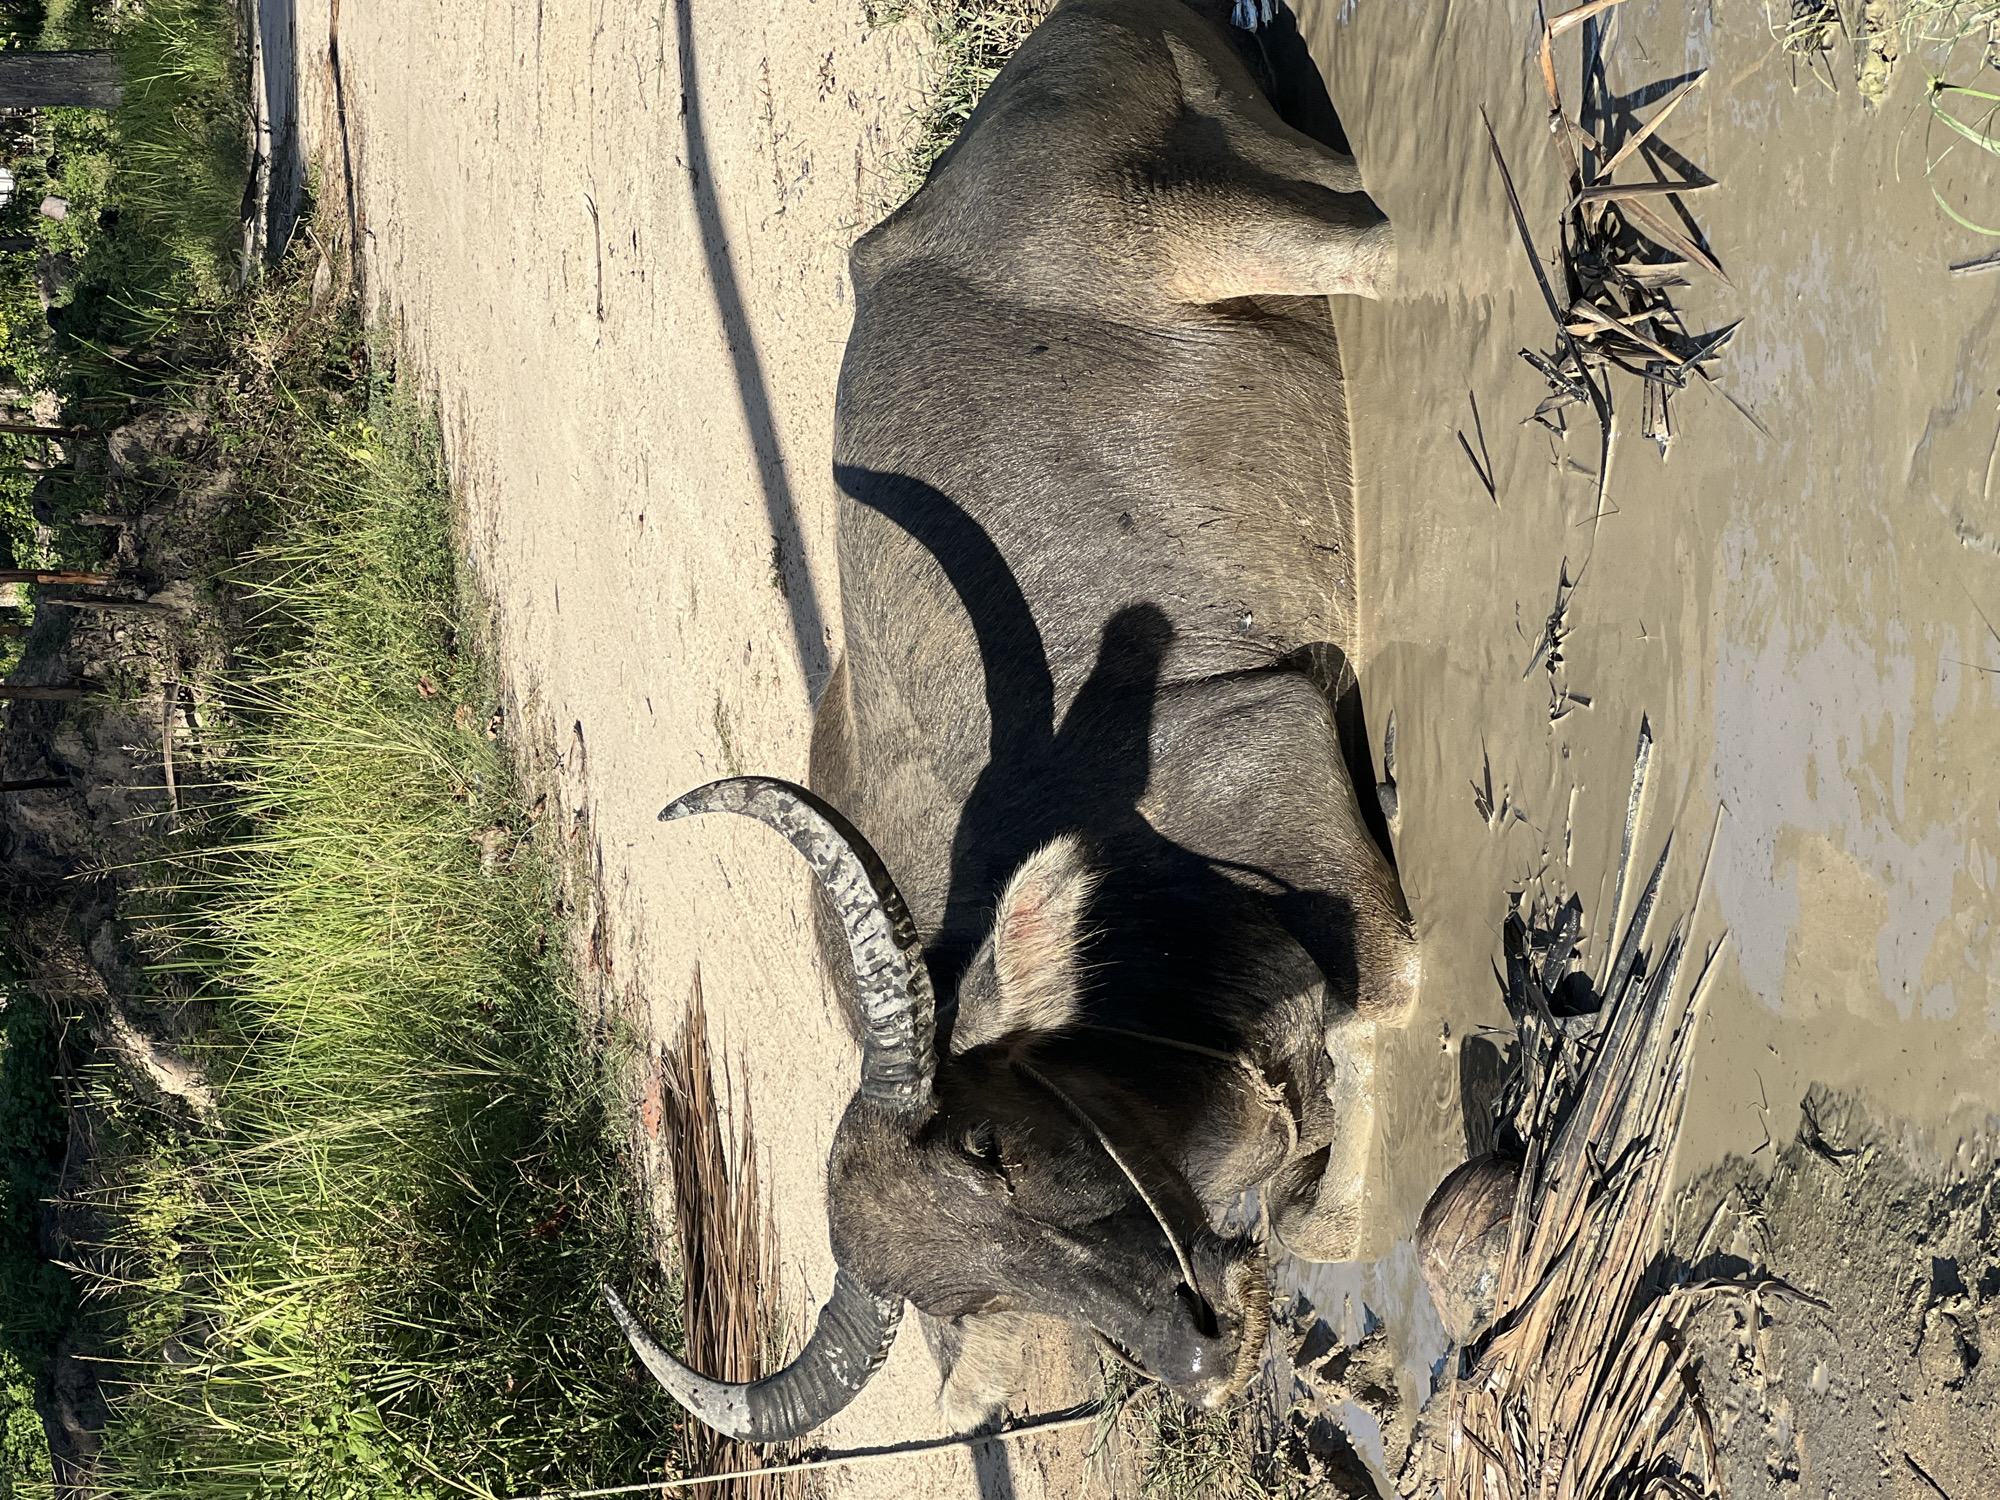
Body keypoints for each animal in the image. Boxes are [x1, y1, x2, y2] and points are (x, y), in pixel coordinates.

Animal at [606, 0, 1420, 1440]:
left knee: (1392, 246)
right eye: (979, 1294)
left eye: (988, 1143)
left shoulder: (1272, 733)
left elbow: (1383, 1015)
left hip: (1210, 222)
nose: (1197, 1352)